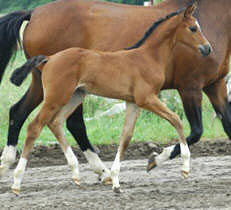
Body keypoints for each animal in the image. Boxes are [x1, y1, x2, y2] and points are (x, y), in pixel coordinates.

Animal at [0, 0, 230, 187]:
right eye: (193, 28)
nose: (207, 48)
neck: (147, 55)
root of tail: (48, 58)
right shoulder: (176, 91)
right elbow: (183, 124)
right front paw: (170, 164)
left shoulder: (211, 86)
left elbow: (126, 137)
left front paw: (120, 176)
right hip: (56, 95)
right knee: (39, 124)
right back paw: (18, 178)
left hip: (69, 94)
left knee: (44, 119)